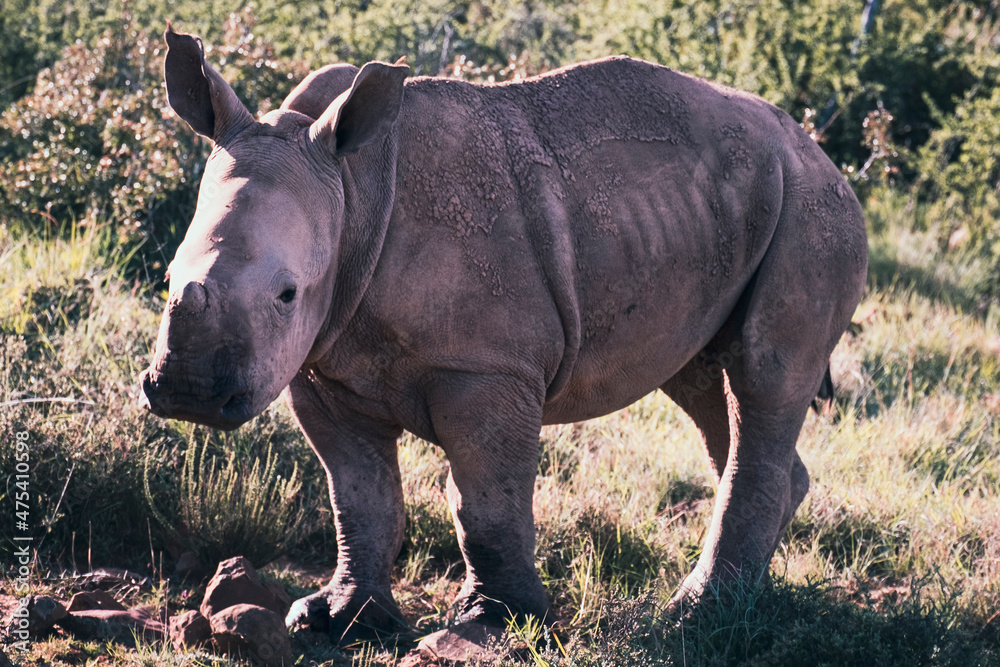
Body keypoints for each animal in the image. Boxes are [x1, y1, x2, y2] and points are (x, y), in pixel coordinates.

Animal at [140, 26, 867, 640]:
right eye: (168, 275)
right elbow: (359, 492)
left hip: (813, 211)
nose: (186, 393)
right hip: (716, 215)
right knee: (707, 384)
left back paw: (692, 615)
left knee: (764, 378)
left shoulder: (487, 368)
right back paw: (734, 598)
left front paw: (489, 624)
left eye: (288, 294)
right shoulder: (322, 364)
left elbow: (485, 497)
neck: (350, 186)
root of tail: (822, 155)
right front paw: (336, 620)